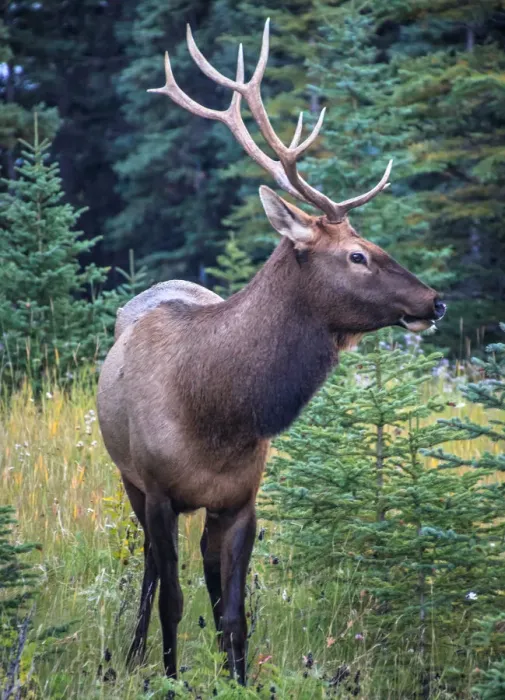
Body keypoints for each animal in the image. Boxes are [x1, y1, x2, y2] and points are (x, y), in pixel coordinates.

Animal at [97, 19, 446, 685]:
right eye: (357, 255)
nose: (435, 301)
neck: (215, 412)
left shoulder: (243, 498)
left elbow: (235, 611)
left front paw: (238, 679)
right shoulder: (157, 489)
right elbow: (173, 598)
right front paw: (171, 677)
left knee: (207, 571)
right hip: (128, 479)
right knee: (153, 567)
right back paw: (129, 656)